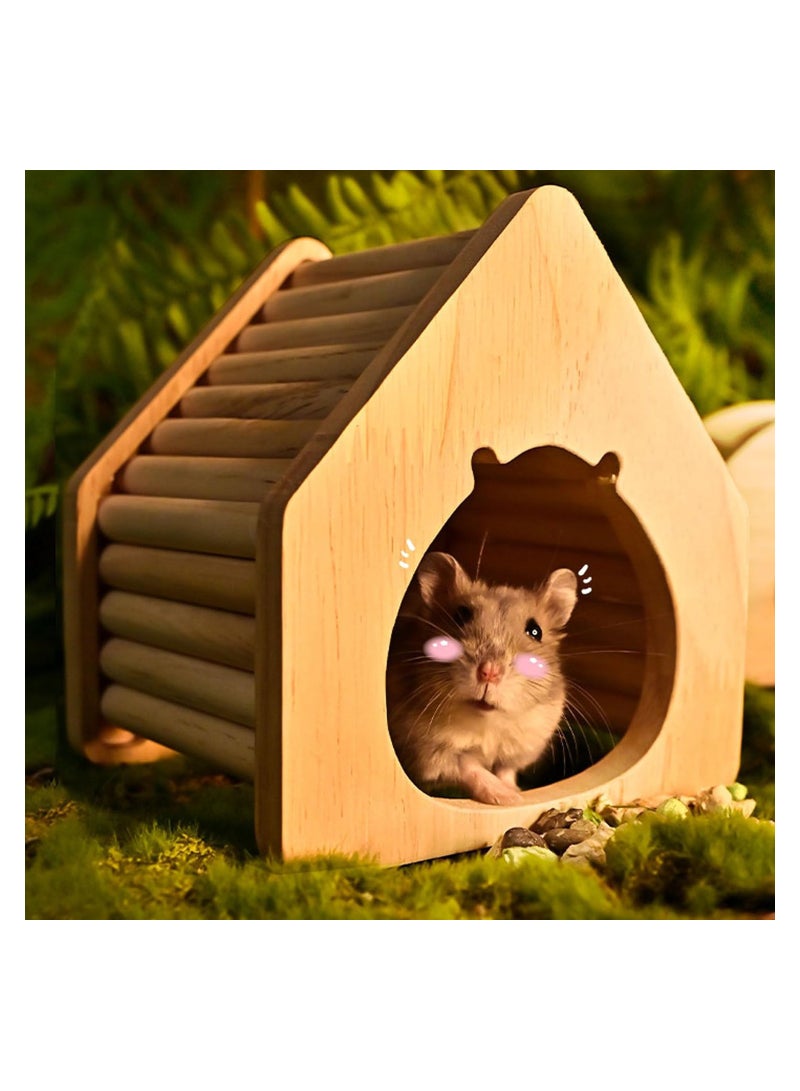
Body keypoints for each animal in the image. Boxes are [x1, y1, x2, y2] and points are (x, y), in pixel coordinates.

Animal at [387, 552, 577, 805]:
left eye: (535, 631)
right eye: (460, 616)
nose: (489, 672)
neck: (487, 721)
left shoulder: (524, 745)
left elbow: (506, 770)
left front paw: (516, 792)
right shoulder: (431, 754)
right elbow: (470, 767)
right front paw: (509, 799)